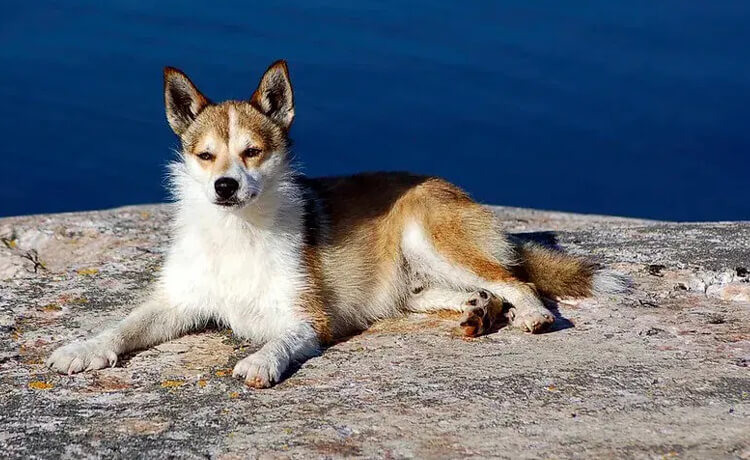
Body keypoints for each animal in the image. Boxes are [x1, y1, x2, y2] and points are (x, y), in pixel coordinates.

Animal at [47, 59, 628, 386]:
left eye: (252, 151)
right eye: (206, 155)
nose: (224, 187)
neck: (238, 232)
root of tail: (455, 190)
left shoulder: (310, 320)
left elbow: (280, 340)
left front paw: (261, 362)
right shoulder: (176, 303)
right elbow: (124, 325)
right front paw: (84, 349)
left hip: (430, 238)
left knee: (516, 280)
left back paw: (528, 314)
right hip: (413, 281)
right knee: (457, 292)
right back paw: (477, 313)